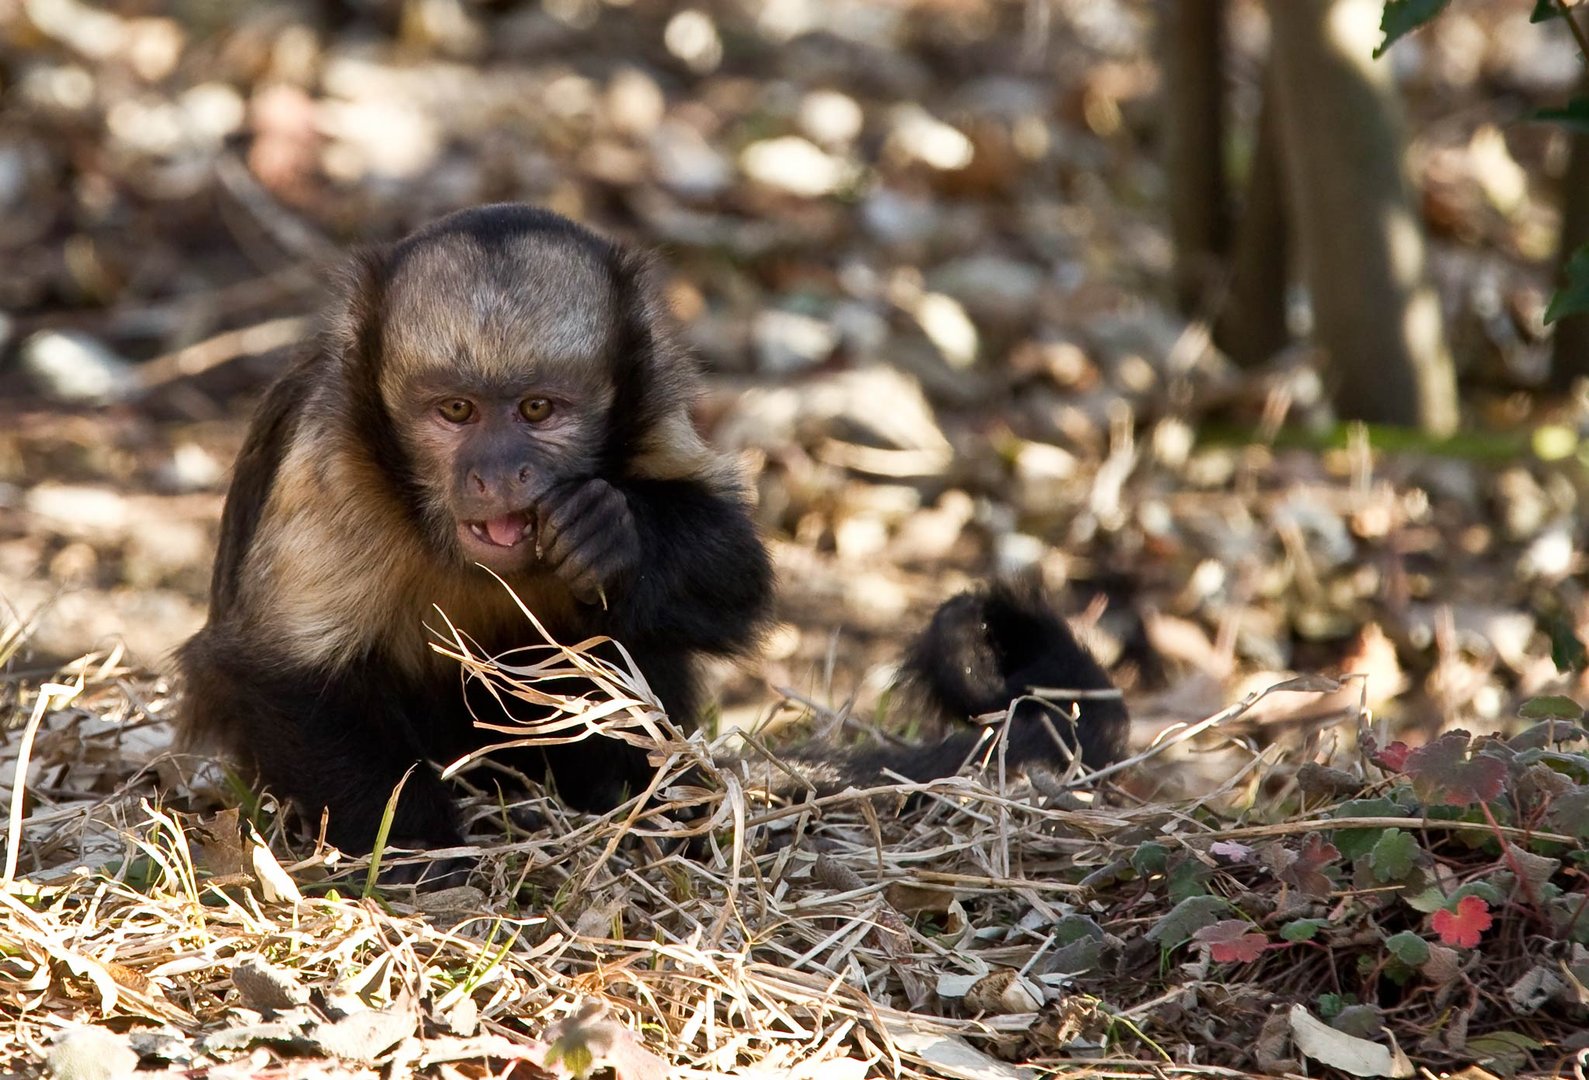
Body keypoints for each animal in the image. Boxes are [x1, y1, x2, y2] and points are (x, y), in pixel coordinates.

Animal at [177, 204, 1131, 876]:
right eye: (455, 411)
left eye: (536, 409)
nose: (497, 472)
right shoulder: (332, 457)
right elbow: (279, 673)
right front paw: (419, 852)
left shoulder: (651, 407)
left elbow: (737, 578)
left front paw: (616, 533)